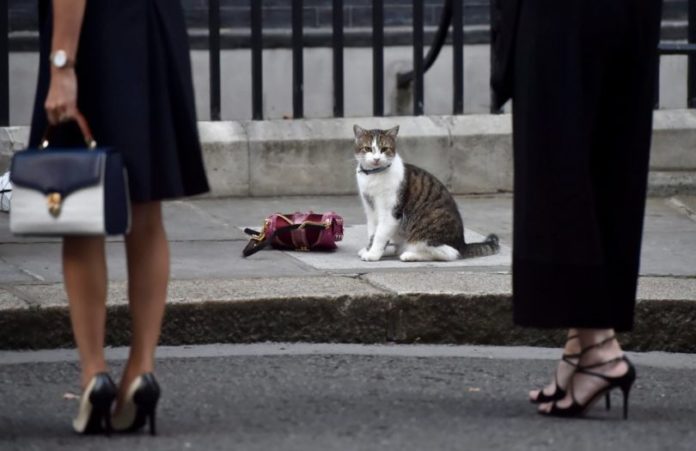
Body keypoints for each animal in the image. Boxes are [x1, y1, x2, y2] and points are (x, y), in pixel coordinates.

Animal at [353, 125, 500, 262]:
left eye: (384, 149)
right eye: (368, 148)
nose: (376, 159)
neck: (374, 175)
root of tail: (462, 244)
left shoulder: (390, 212)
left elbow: (380, 235)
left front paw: (372, 254)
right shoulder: (370, 210)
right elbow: (372, 233)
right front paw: (369, 250)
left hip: (425, 230)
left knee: (448, 253)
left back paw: (410, 255)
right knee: (400, 246)